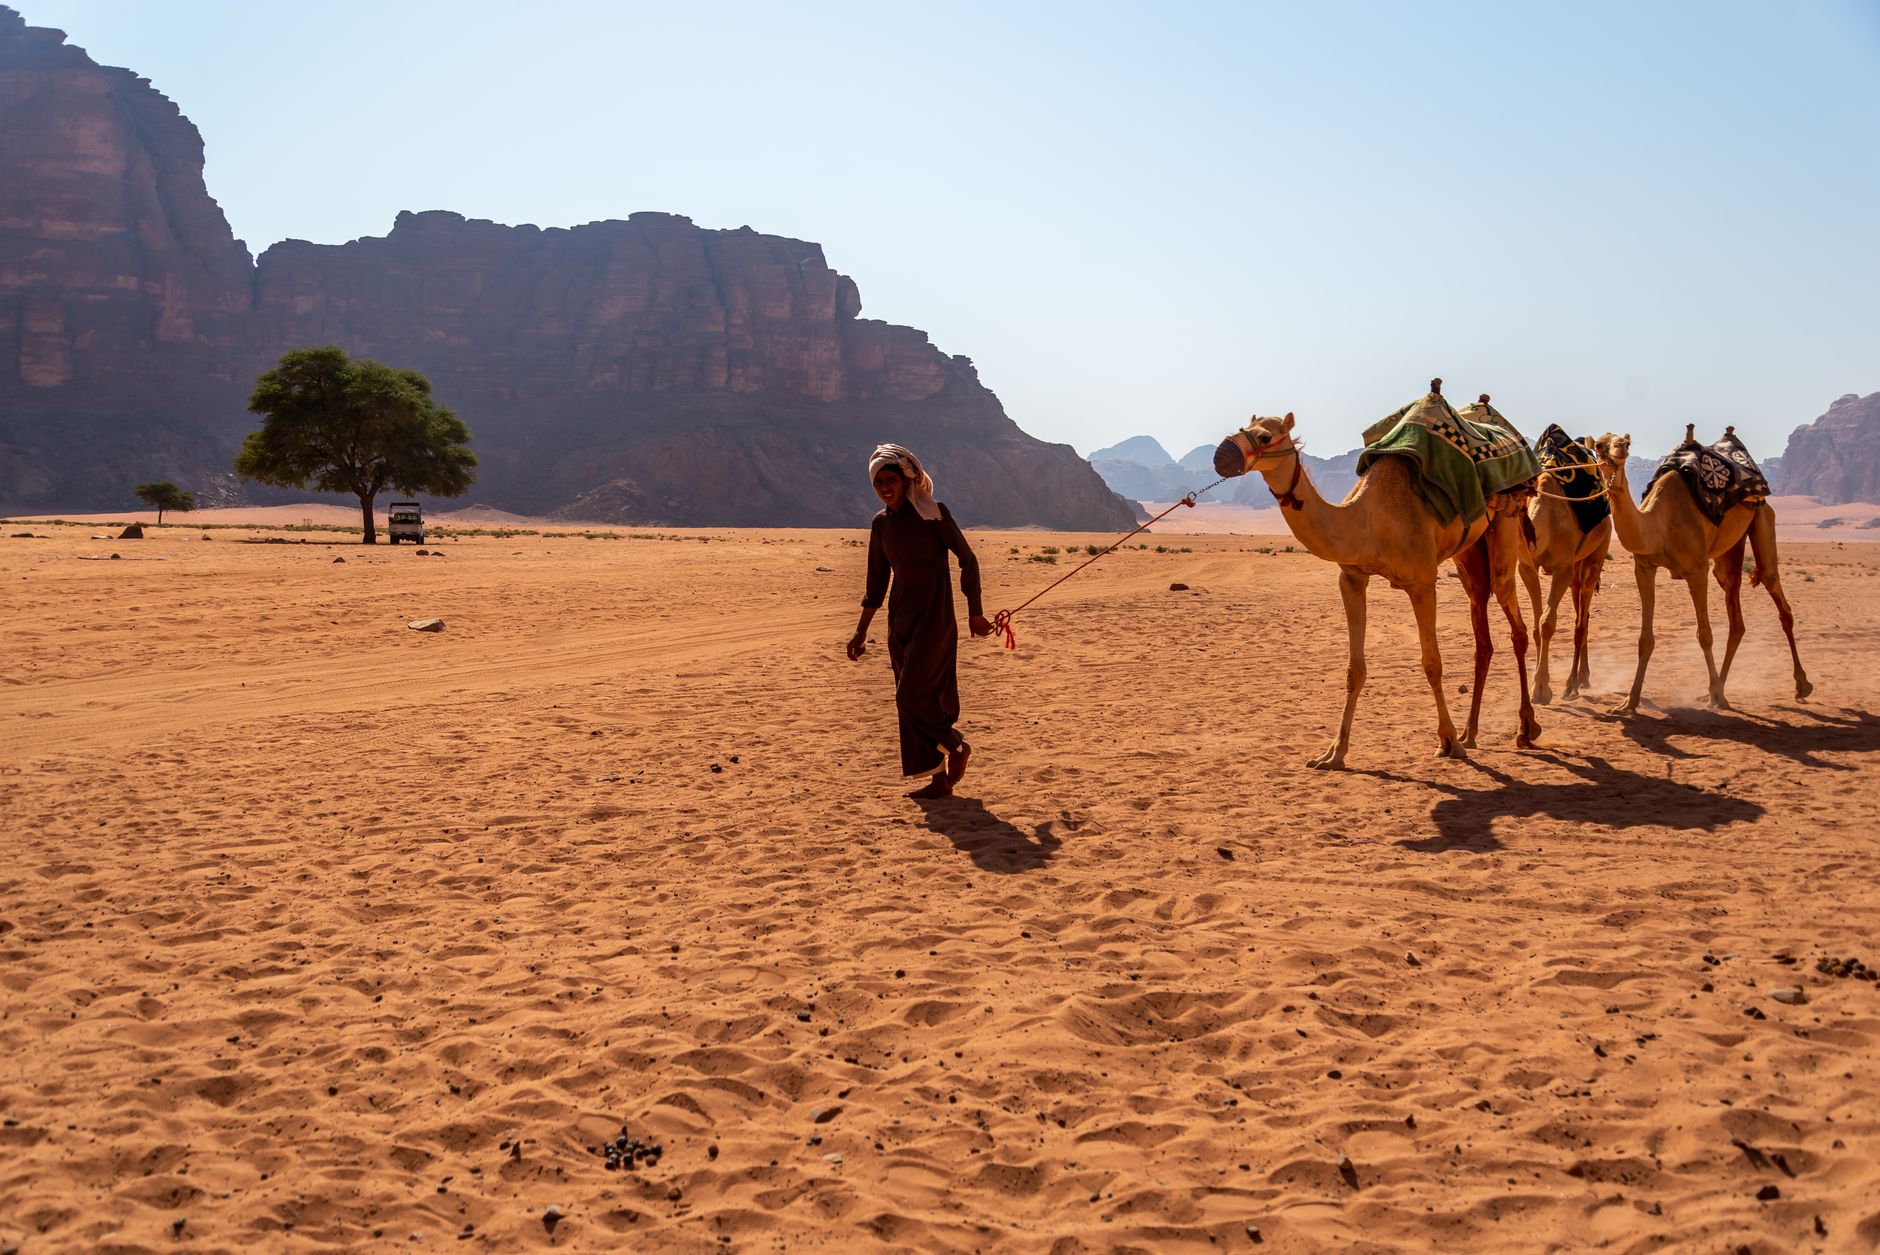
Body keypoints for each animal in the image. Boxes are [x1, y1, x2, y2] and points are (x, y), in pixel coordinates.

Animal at [1213, 386, 1539, 768]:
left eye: (1265, 436)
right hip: (1469, 552)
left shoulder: (1422, 582)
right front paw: (1333, 753)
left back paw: (1524, 729)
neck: (1369, 521)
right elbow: (1354, 670)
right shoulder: (1352, 578)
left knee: (1516, 623)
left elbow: (1432, 663)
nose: (1222, 454)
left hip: (1504, 526)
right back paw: (1470, 733)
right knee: (1482, 633)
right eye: (1242, 427)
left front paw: (1446, 742)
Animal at [1518, 437, 1614, 704]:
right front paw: (1535, 684)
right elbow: (1537, 625)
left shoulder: (1563, 567)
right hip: (1576, 572)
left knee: (1581, 622)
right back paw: (1582, 678)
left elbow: (1547, 623)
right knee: (1584, 616)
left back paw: (1574, 683)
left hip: (1594, 558)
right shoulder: (1527, 566)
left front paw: (1541, 688)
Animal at [1594, 428, 1810, 715]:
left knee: (1775, 591)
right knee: (1736, 616)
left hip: (1763, 518)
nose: (1619, 449)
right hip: (1727, 557)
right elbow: (1645, 639)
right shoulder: (1644, 568)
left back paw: (1801, 685)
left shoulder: (1697, 570)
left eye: (1626, 442)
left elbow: (1704, 635)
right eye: (1599, 445)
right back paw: (1713, 689)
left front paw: (1719, 698)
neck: (1658, 524)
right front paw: (1629, 702)